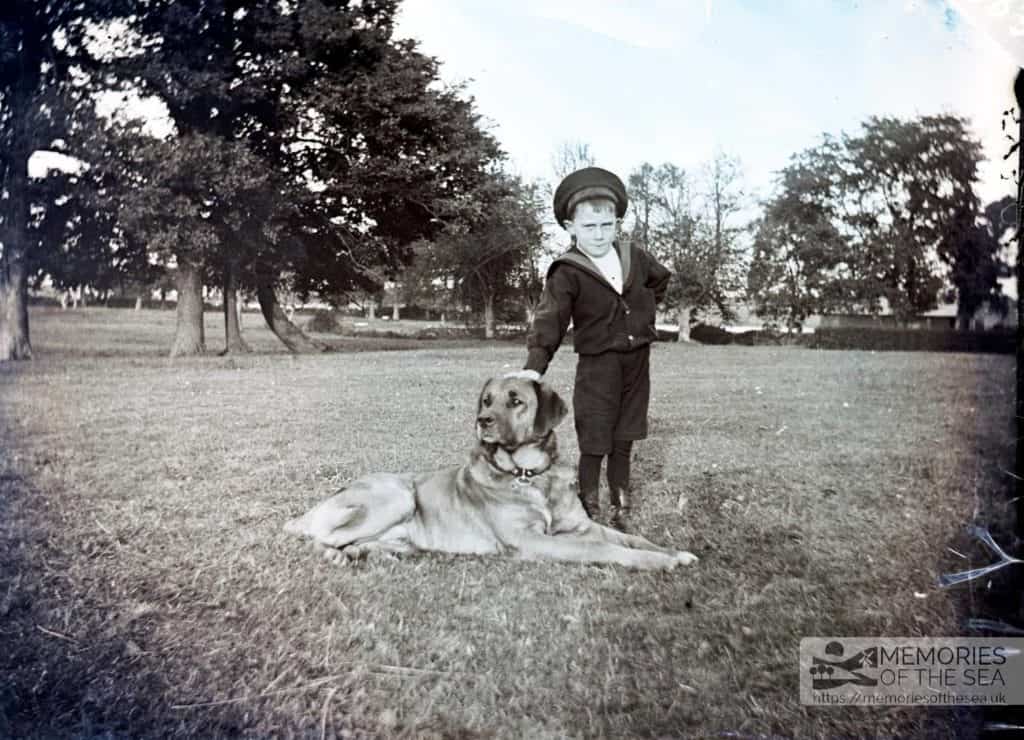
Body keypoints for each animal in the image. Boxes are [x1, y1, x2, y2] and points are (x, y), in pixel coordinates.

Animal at [284, 376, 700, 573]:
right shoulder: (533, 540)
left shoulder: (581, 526)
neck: (530, 473)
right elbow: (602, 549)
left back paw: (371, 555)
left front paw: (673, 552)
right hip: (397, 494)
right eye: (486, 401)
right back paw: (337, 554)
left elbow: (631, 538)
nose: (482, 420)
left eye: (516, 401)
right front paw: (657, 563)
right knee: (319, 537)